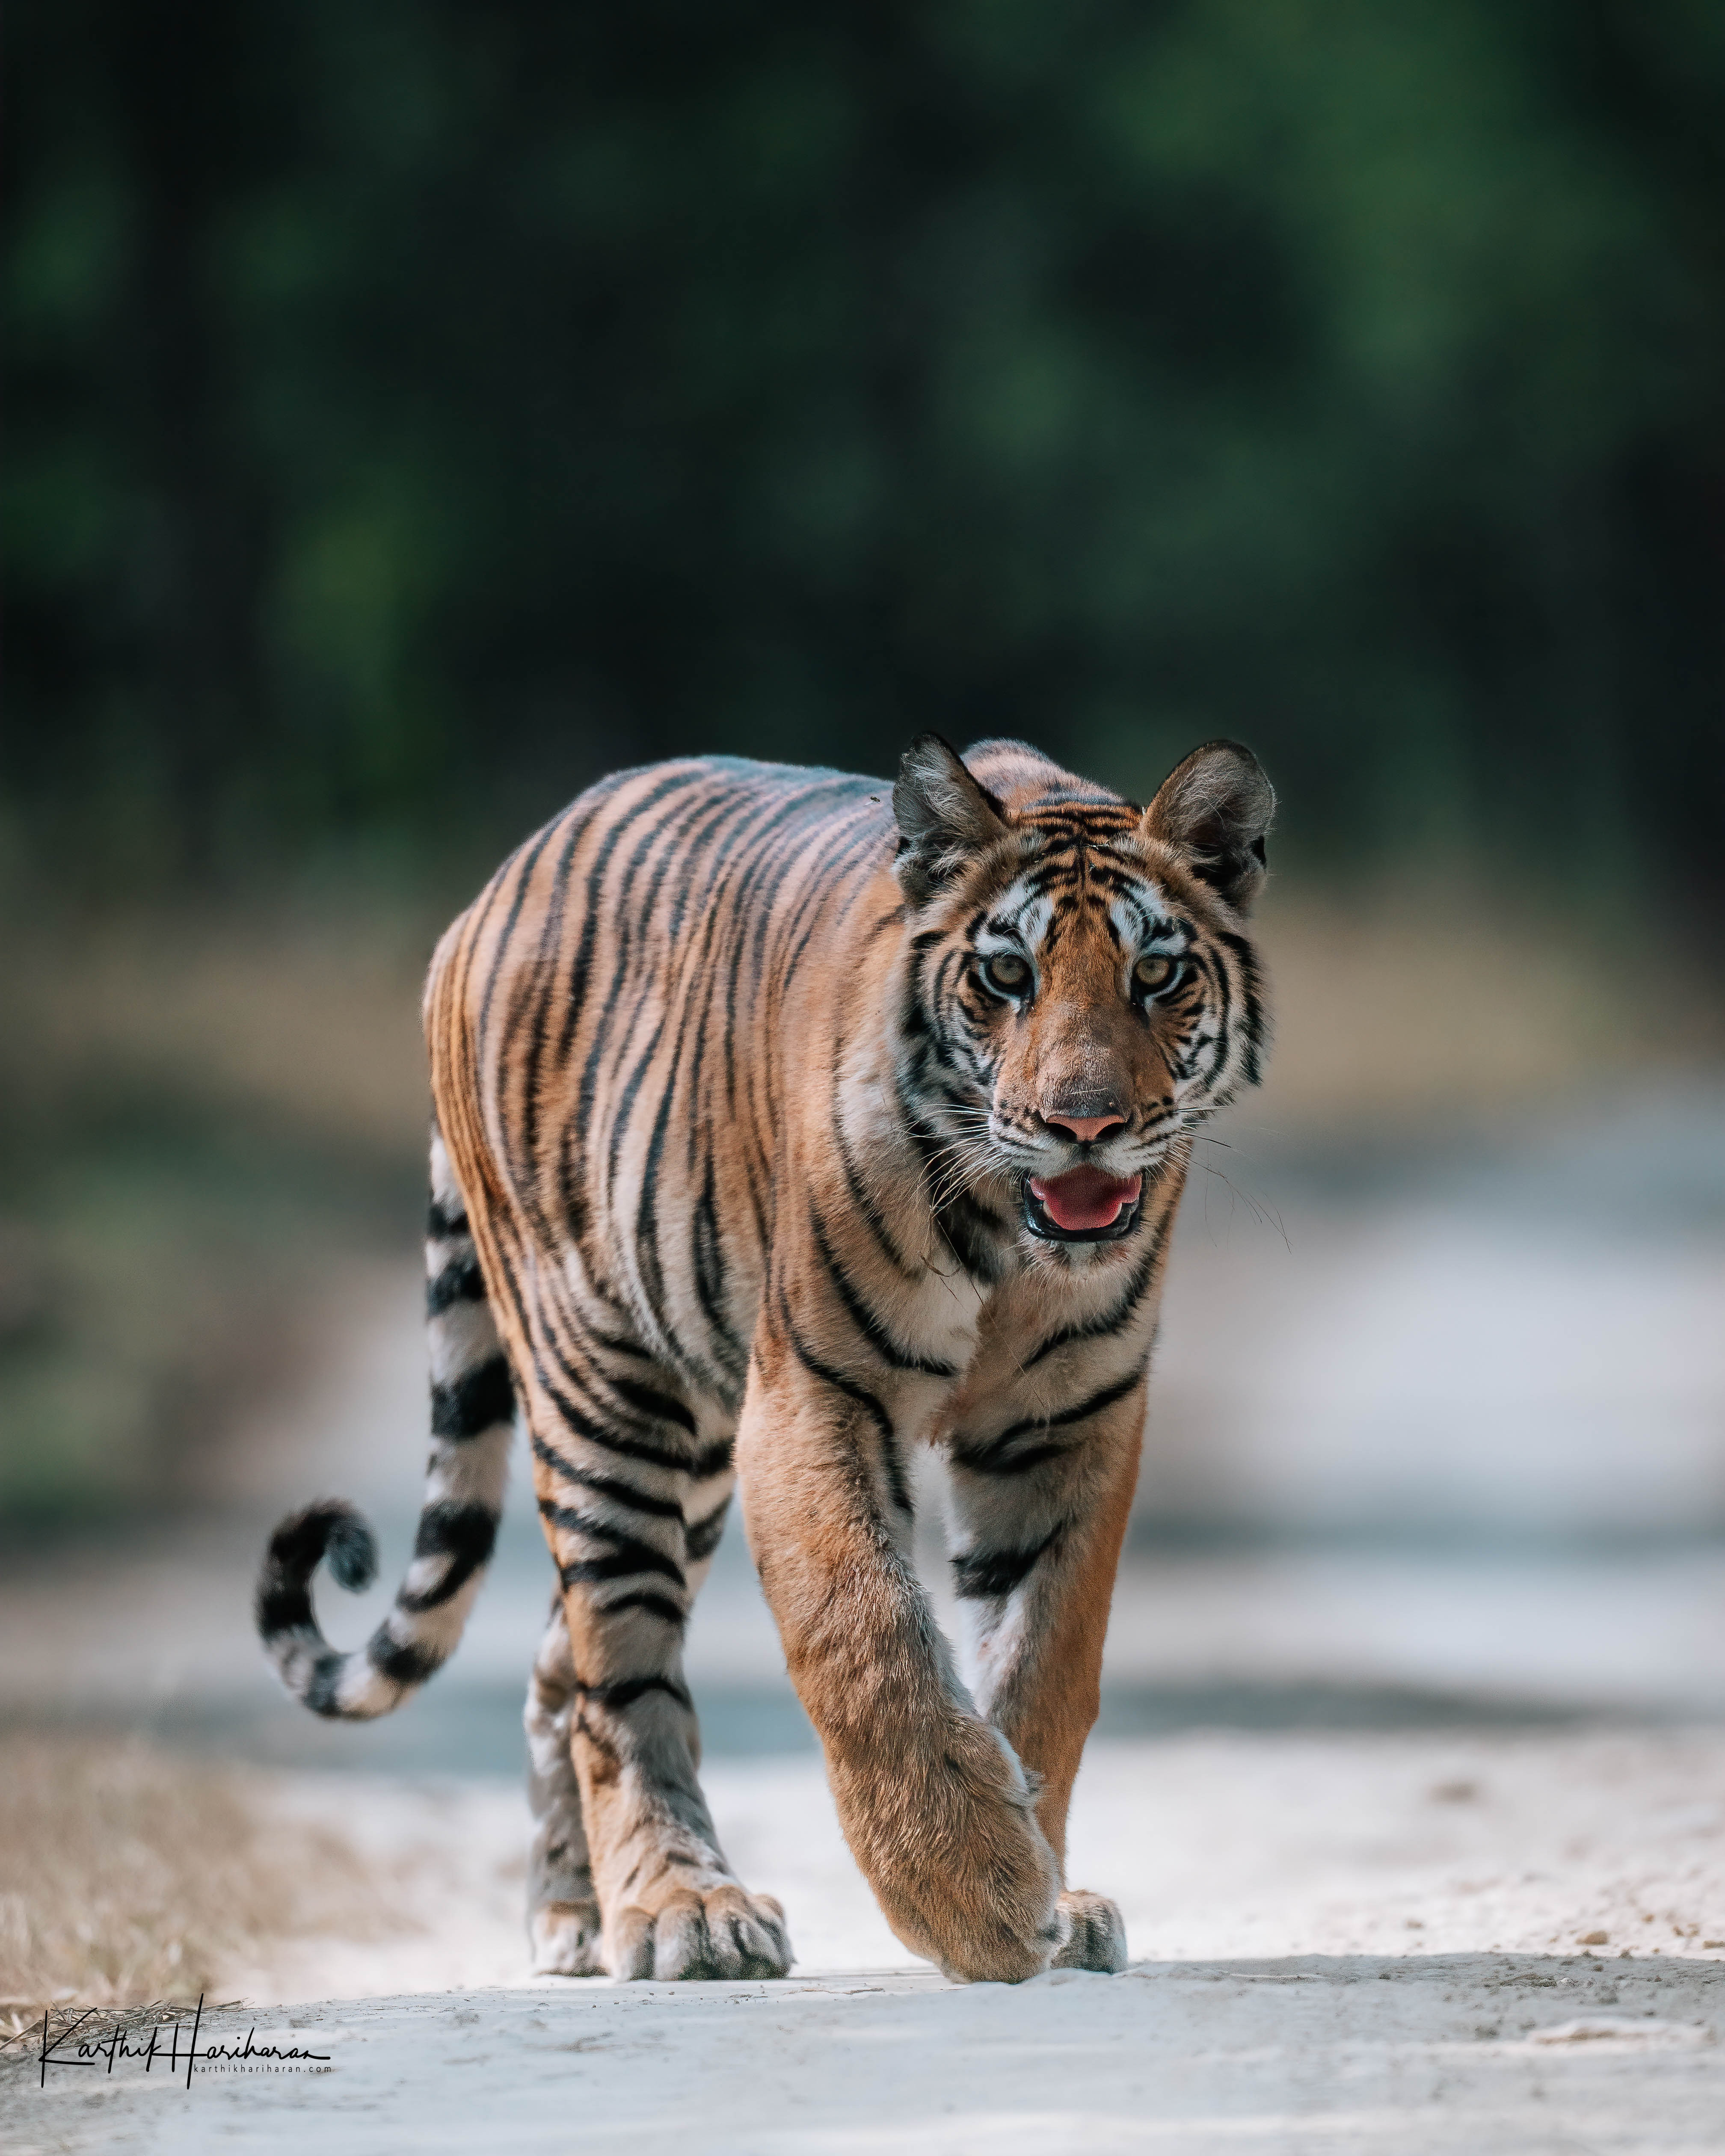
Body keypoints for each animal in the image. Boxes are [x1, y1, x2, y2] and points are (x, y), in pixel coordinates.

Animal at [256, 731, 1273, 1984]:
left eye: (1157, 975)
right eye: (1006, 977)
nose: (1085, 1126)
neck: (1009, 1233)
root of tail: (490, 892)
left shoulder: (1070, 1422)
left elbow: (1044, 1663)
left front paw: (1049, 1887)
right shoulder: (812, 1393)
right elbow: (864, 1633)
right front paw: (972, 1896)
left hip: (690, 1452)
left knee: (558, 1662)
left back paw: (578, 1915)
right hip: (613, 1401)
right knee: (616, 1675)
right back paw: (681, 1910)